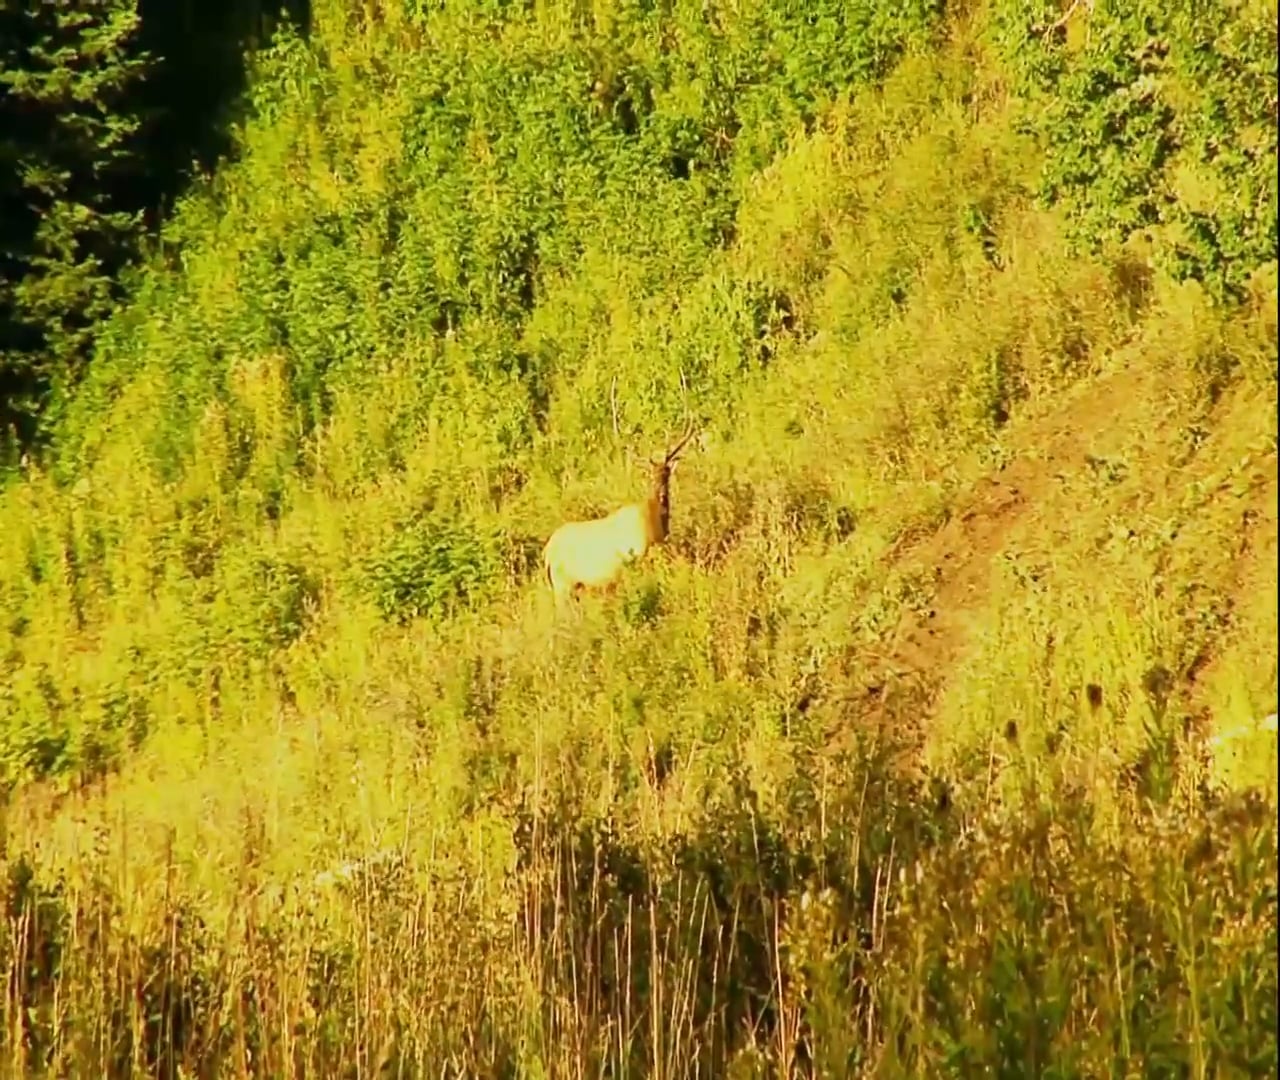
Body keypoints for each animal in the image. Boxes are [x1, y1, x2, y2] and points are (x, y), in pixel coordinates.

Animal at [542, 418, 698, 607]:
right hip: (562, 583)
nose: (662, 493)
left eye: (666, 473)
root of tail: (547, 553)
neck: (655, 526)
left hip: (575, 585)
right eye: (651, 476)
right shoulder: (636, 558)